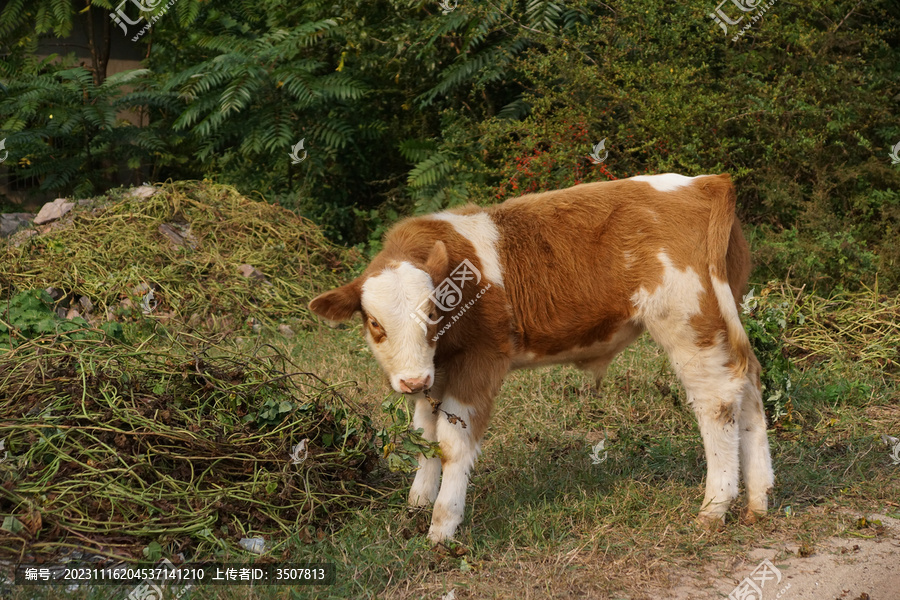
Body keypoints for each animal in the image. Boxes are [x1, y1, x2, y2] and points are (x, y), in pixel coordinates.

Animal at [310, 173, 772, 544]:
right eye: (375, 324)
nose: (409, 381)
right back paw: (759, 499)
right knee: (749, 387)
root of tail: (705, 183)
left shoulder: (480, 364)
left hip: (690, 326)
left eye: (433, 313)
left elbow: (453, 444)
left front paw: (442, 527)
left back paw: (715, 506)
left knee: (717, 401)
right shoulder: (434, 373)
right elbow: (424, 437)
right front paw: (417, 504)